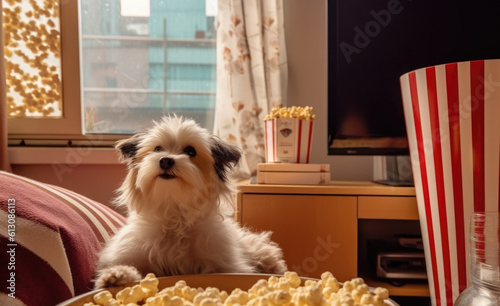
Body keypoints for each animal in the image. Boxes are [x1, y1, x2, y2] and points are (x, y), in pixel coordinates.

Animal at [94, 116, 288, 288]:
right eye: (157, 149)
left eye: (190, 151)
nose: (165, 160)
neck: (174, 214)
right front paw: (117, 275)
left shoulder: (224, 264)